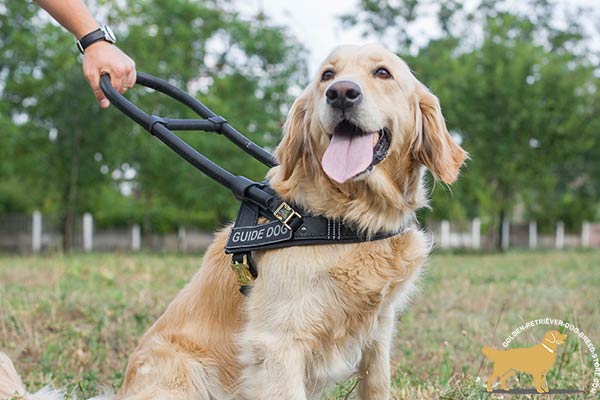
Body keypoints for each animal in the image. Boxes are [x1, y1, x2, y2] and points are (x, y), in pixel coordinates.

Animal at [0, 43, 466, 400]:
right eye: (327, 75)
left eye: (382, 73)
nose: (341, 93)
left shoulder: (378, 334)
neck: (345, 219)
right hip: (182, 369)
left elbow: (377, 385)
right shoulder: (277, 343)